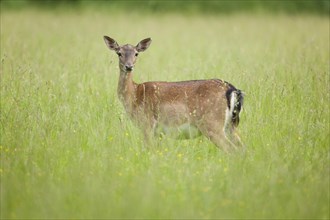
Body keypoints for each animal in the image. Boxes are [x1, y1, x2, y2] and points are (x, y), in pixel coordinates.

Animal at [103, 36, 245, 153]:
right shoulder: (158, 132)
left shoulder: (147, 123)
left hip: (213, 124)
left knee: (232, 150)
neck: (134, 95)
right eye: (119, 53)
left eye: (136, 53)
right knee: (242, 148)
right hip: (231, 125)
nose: (129, 66)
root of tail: (232, 89)